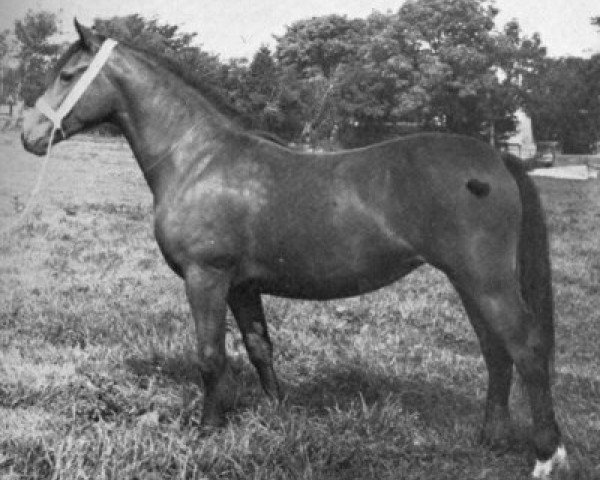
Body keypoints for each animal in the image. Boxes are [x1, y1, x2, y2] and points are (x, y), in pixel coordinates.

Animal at [19, 20, 568, 478]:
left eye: (67, 74)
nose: (29, 135)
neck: (198, 159)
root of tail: (495, 158)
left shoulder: (206, 277)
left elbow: (210, 355)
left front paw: (207, 431)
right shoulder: (241, 286)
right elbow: (259, 348)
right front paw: (277, 413)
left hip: (486, 281)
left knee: (526, 349)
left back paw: (546, 455)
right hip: (468, 282)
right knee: (496, 352)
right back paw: (490, 437)